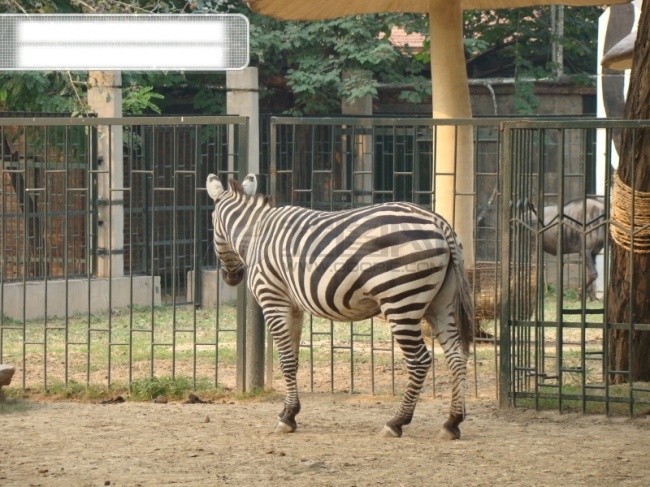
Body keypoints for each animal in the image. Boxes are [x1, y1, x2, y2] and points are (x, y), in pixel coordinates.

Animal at [206, 173, 470, 440]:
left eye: (212, 223)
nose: (232, 278)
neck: (256, 233)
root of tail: (439, 222)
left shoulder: (272, 298)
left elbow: (286, 360)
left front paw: (287, 418)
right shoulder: (294, 307)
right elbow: (294, 359)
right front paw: (290, 411)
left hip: (401, 300)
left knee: (419, 361)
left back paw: (396, 422)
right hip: (440, 304)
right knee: (457, 356)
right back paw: (452, 422)